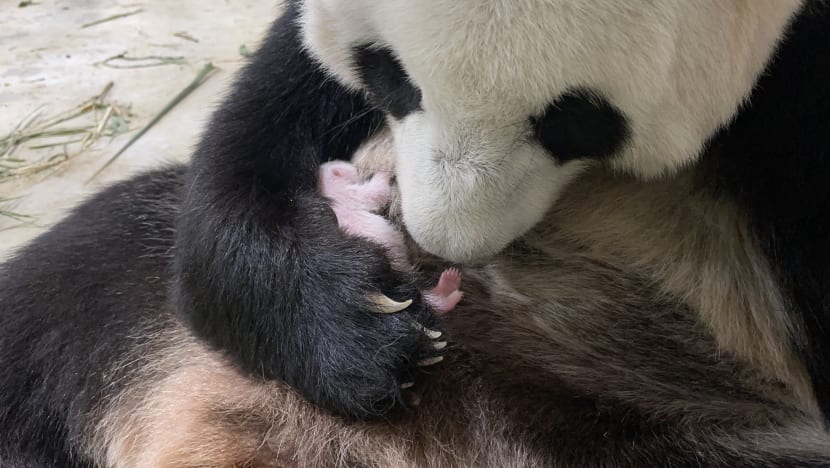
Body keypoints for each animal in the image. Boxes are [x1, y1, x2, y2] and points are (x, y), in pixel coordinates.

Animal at [1, 0, 830, 466]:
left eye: (576, 121)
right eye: (388, 74)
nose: (439, 245)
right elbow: (266, 119)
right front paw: (357, 335)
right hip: (128, 315)